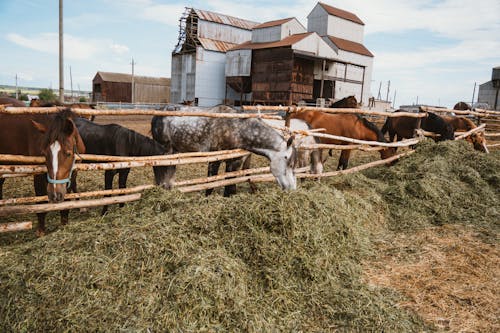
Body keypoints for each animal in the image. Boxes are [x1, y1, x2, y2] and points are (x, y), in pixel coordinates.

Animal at [0, 107, 85, 235]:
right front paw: (41, 232)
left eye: (68, 153)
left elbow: (66, 203)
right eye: (44, 154)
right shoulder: (38, 176)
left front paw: (64, 224)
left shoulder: (73, 174)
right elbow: (40, 204)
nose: (55, 195)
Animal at [150, 112, 294, 195]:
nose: (292, 188)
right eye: (287, 161)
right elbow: (211, 183)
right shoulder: (215, 159)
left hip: (173, 153)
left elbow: (230, 184)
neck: (236, 129)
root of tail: (157, 116)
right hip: (164, 152)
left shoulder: (235, 161)